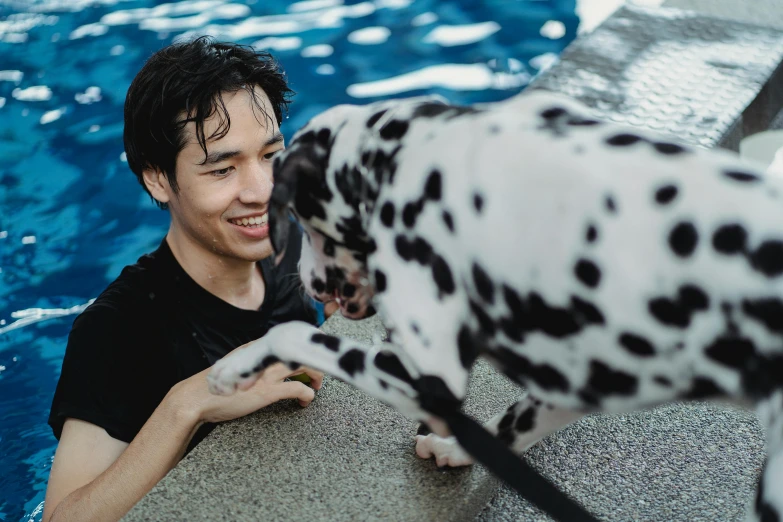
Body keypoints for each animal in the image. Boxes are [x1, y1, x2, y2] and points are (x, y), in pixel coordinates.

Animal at [208, 91, 783, 516]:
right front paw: (454, 448)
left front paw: (237, 366)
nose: (308, 281)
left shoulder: (430, 377)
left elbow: (294, 334)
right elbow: (514, 423)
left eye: (302, 220)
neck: (406, 156)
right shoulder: (569, 382)